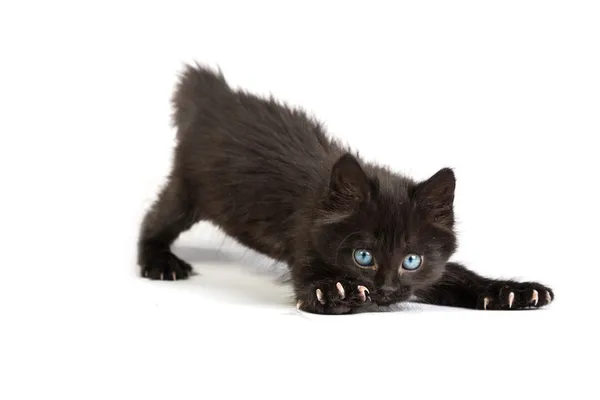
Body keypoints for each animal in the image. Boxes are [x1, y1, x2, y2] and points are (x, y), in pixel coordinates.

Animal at [137, 64, 552, 314]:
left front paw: (512, 291)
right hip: (187, 189)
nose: (385, 289)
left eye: (412, 260)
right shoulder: (302, 243)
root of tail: (215, 92)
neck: (322, 199)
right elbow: (314, 288)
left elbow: (459, 274)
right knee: (154, 220)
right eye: (363, 257)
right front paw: (340, 291)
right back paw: (159, 262)